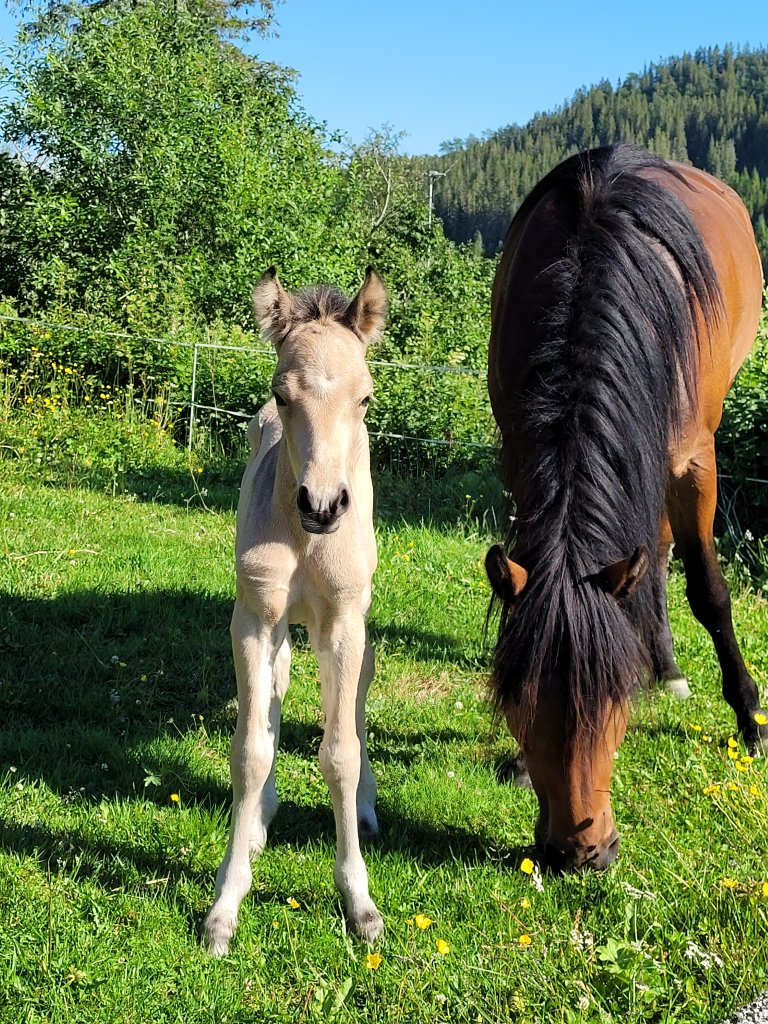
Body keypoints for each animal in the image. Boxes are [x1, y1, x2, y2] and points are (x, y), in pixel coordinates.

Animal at [202, 268, 387, 954]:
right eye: (281, 395)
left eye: (365, 399)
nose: (323, 505)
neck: (306, 543)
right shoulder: (254, 621)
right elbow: (250, 749)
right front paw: (225, 904)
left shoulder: (342, 624)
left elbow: (339, 753)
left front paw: (360, 903)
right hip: (278, 627)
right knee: (276, 690)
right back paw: (258, 820)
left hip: (356, 626)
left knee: (357, 698)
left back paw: (367, 807)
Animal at [487, 144, 768, 872]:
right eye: (520, 706)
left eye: (615, 705)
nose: (580, 852)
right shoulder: (520, 452)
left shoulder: (695, 460)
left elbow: (709, 590)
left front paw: (749, 716)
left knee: (665, 552)